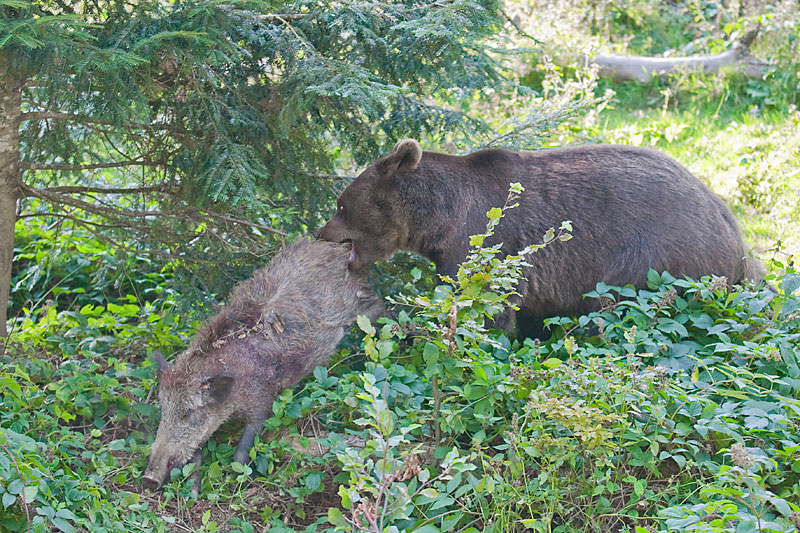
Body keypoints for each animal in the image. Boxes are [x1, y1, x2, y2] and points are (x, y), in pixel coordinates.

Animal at [314, 139, 756, 334]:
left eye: (340, 205)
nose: (321, 232)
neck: (441, 218)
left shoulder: (481, 245)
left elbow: (487, 310)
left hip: (656, 260)